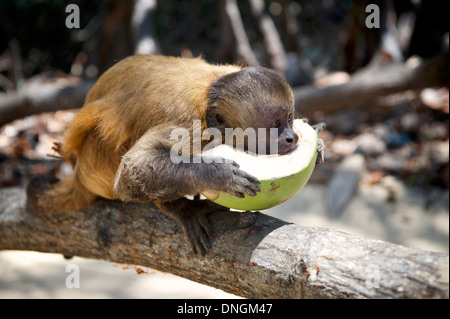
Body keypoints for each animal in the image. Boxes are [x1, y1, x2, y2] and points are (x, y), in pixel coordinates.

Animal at [26, 54, 324, 255]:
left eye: (290, 118)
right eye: (276, 125)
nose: (292, 137)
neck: (209, 102)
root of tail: (79, 171)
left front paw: (318, 143)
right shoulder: (188, 123)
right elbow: (133, 169)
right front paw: (217, 175)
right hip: (97, 165)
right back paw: (179, 208)